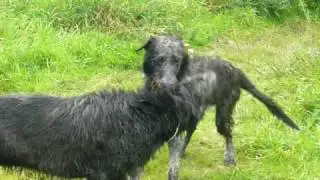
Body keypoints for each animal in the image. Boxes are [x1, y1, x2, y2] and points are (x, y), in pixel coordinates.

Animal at [135, 35, 300, 180]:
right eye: (159, 59)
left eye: (177, 60)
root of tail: (236, 71)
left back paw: (230, 157)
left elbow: (173, 165)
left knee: (229, 133)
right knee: (193, 130)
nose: (169, 85)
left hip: (222, 114)